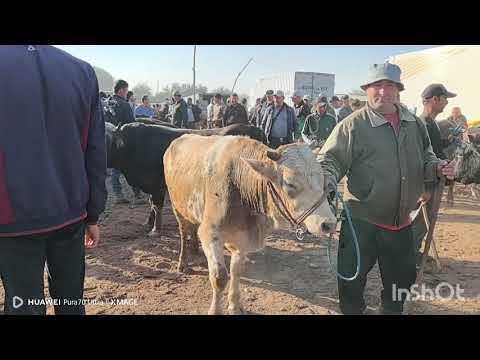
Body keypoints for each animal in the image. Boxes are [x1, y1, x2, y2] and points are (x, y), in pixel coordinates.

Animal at [105, 123, 268, 236]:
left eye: (106, 139)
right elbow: (152, 205)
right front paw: (148, 223)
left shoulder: (157, 186)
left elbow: (157, 206)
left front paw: (156, 229)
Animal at [163, 135, 336, 316]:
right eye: (289, 183)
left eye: (323, 179)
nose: (328, 224)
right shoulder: (210, 233)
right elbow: (219, 277)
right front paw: (215, 310)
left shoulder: (243, 239)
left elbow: (236, 271)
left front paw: (234, 305)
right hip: (177, 208)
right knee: (184, 233)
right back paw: (183, 263)